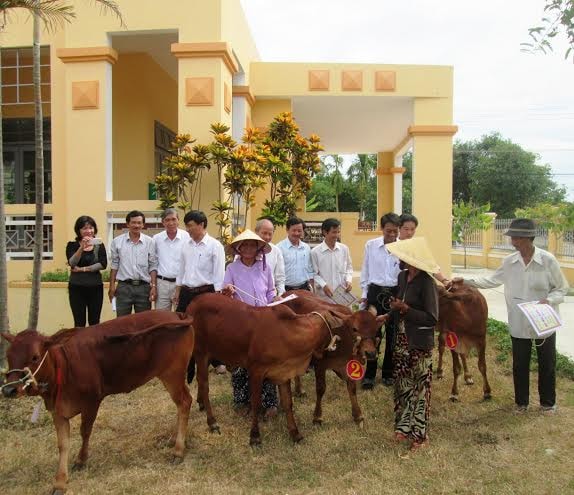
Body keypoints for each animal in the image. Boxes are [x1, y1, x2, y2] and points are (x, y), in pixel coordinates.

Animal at [0, 312, 196, 494]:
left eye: (35, 357)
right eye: (8, 355)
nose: (9, 390)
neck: (64, 364)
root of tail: (177, 314)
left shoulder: (92, 401)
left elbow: (85, 432)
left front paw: (81, 460)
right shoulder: (58, 411)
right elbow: (63, 444)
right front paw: (60, 483)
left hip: (172, 374)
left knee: (185, 402)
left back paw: (178, 450)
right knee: (180, 405)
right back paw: (174, 439)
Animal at [282, 290, 380, 426]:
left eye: (375, 330)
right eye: (355, 328)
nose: (370, 353)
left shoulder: (346, 363)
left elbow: (352, 387)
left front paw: (357, 415)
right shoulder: (320, 364)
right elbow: (321, 389)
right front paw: (317, 417)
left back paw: (299, 390)